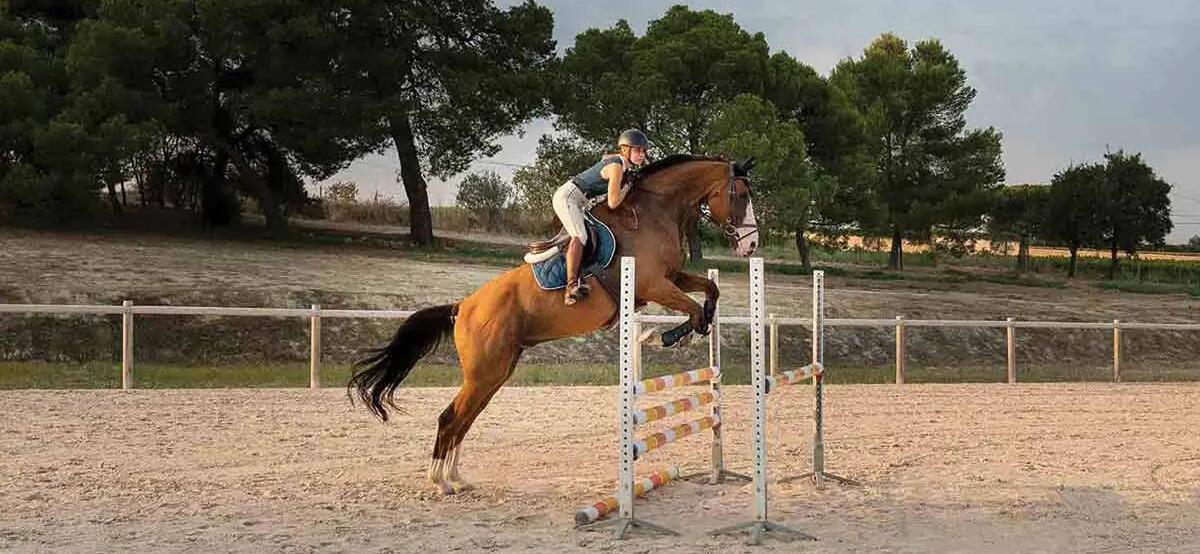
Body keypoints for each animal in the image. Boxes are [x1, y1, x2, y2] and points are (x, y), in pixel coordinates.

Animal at [350, 153, 758, 496]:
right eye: (740, 195)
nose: (751, 247)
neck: (656, 212)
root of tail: (462, 306)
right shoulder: (654, 284)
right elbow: (693, 309)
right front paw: (666, 336)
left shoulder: (672, 277)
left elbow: (710, 291)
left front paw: (676, 333)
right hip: (485, 371)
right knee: (451, 416)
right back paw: (439, 481)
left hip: (496, 372)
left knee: (465, 418)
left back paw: (456, 477)